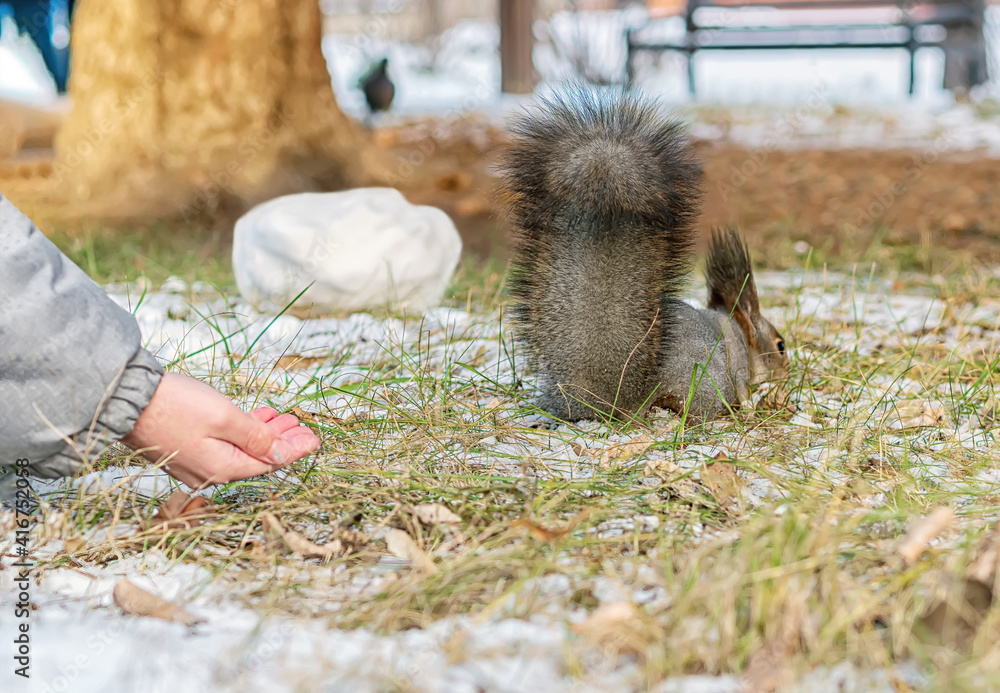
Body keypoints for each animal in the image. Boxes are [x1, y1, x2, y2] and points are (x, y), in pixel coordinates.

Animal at [500, 88, 788, 418]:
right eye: (780, 345)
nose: (788, 369)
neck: (738, 328)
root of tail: (622, 399)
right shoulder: (738, 365)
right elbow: (743, 388)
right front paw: (753, 407)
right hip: (706, 382)